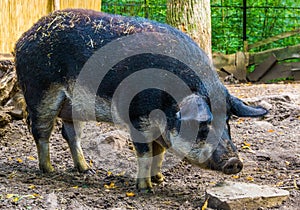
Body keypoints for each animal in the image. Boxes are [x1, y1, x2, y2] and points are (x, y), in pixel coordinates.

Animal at [14, 8, 268, 192]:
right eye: (204, 125)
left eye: (228, 123)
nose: (234, 162)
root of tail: (22, 39)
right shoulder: (137, 116)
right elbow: (145, 153)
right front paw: (146, 189)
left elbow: (160, 152)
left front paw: (160, 180)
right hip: (40, 93)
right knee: (42, 132)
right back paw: (49, 170)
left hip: (71, 106)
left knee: (70, 134)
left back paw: (86, 170)